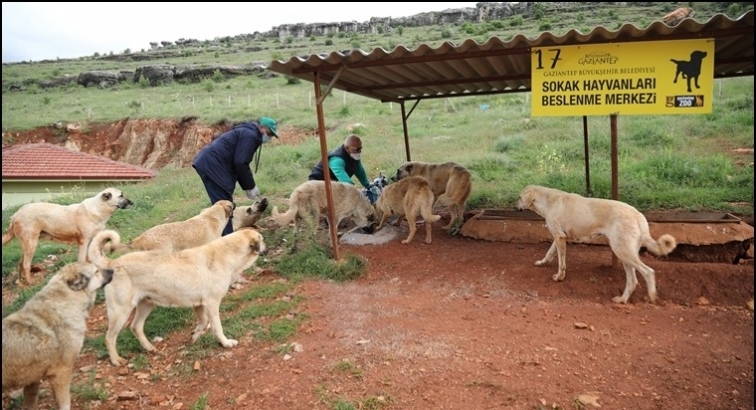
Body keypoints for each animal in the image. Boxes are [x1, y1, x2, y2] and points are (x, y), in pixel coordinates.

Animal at [1, 187, 133, 284]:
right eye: (120, 196)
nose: (132, 203)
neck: (98, 209)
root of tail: (16, 214)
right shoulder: (83, 242)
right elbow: (82, 260)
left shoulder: (91, 240)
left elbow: (90, 259)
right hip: (31, 244)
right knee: (26, 264)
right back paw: (30, 282)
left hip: (28, 245)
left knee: (20, 263)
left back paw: (21, 281)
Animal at [88, 229, 268, 366]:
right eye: (262, 239)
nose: (267, 247)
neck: (226, 254)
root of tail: (113, 264)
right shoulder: (212, 304)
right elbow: (217, 327)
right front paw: (225, 343)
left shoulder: (199, 305)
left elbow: (203, 322)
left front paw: (194, 336)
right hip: (121, 311)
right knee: (109, 338)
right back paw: (116, 360)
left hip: (146, 305)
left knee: (135, 327)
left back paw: (149, 348)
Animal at [516, 186, 676, 304]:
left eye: (519, 197)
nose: (514, 206)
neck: (547, 200)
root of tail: (638, 214)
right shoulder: (559, 237)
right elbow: (549, 253)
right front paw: (542, 263)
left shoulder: (559, 237)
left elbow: (561, 263)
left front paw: (559, 277)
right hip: (625, 254)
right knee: (633, 281)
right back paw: (622, 299)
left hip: (622, 251)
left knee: (648, 272)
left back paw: (652, 296)